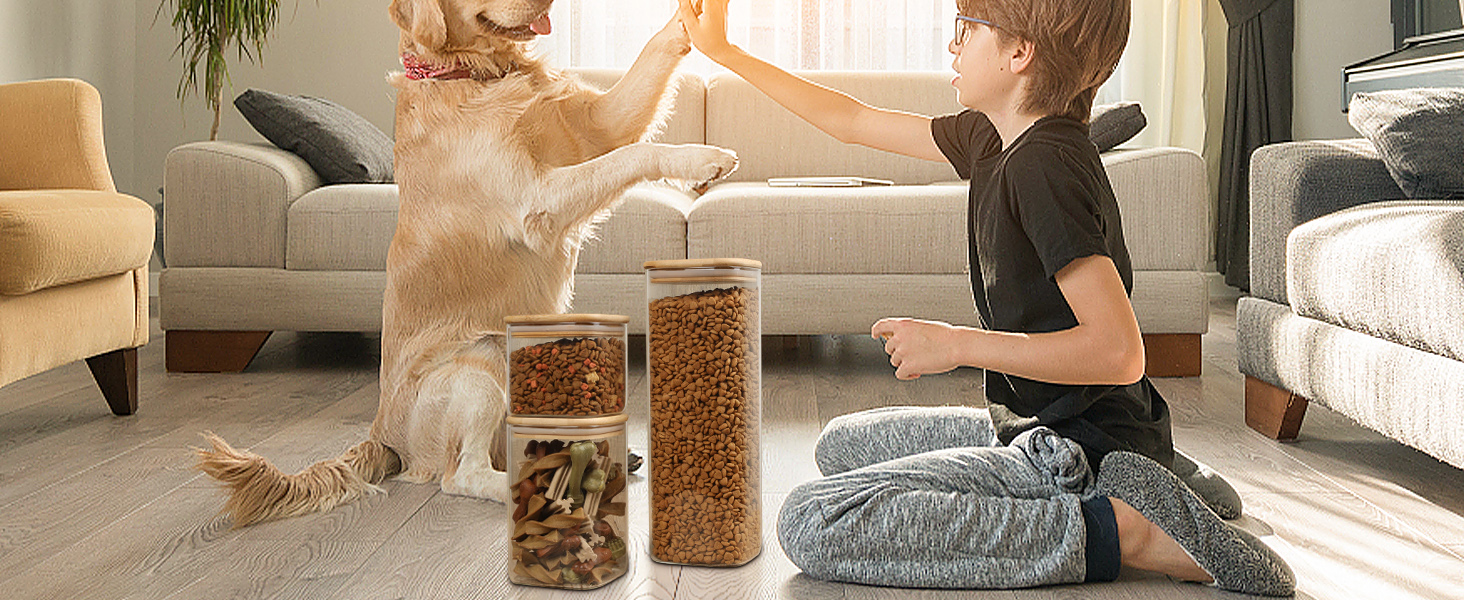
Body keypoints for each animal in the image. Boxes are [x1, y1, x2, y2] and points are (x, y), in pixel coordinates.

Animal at [196, 0, 737, 523]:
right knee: (463, 474)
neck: (475, 74)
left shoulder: (597, 124)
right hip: (482, 357)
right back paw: (542, 490)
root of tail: (383, 433)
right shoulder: (537, 200)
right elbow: (633, 155)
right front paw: (701, 159)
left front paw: (696, 19)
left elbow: (652, 56)